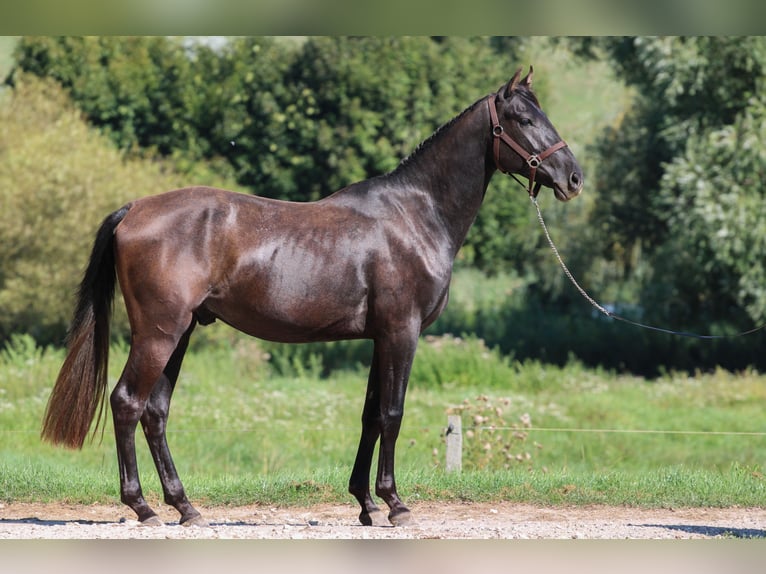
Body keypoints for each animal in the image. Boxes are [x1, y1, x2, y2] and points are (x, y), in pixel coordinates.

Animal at [40, 65, 584, 528]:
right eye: (524, 119)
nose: (574, 178)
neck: (415, 215)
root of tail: (134, 209)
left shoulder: (379, 338)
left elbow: (370, 415)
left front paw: (366, 504)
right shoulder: (401, 332)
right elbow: (393, 413)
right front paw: (396, 504)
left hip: (182, 332)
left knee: (154, 412)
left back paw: (185, 507)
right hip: (159, 332)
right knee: (128, 403)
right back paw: (144, 508)